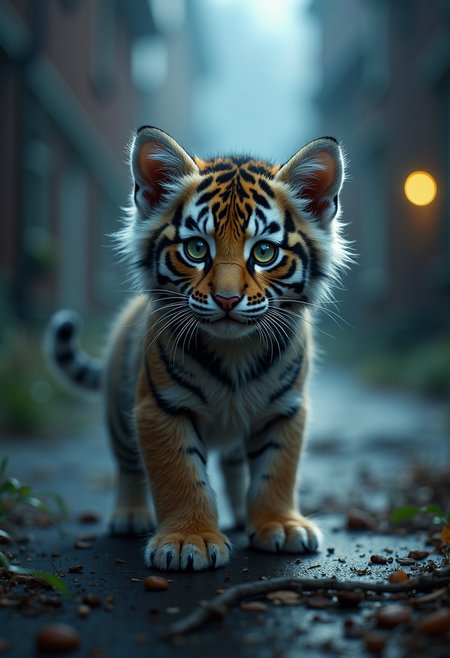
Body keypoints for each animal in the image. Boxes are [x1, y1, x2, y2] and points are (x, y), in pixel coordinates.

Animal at [47, 126, 349, 572]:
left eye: (264, 252)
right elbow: (181, 474)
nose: (226, 299)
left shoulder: (284, 409)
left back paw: (241, 514)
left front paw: (279, 525)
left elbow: (276, 469)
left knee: (235, 464)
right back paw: (129, 516)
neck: (235, 351)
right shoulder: (161, 406)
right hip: (119, 410)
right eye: (196, 249)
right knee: (127, 463)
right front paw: (189, 540)